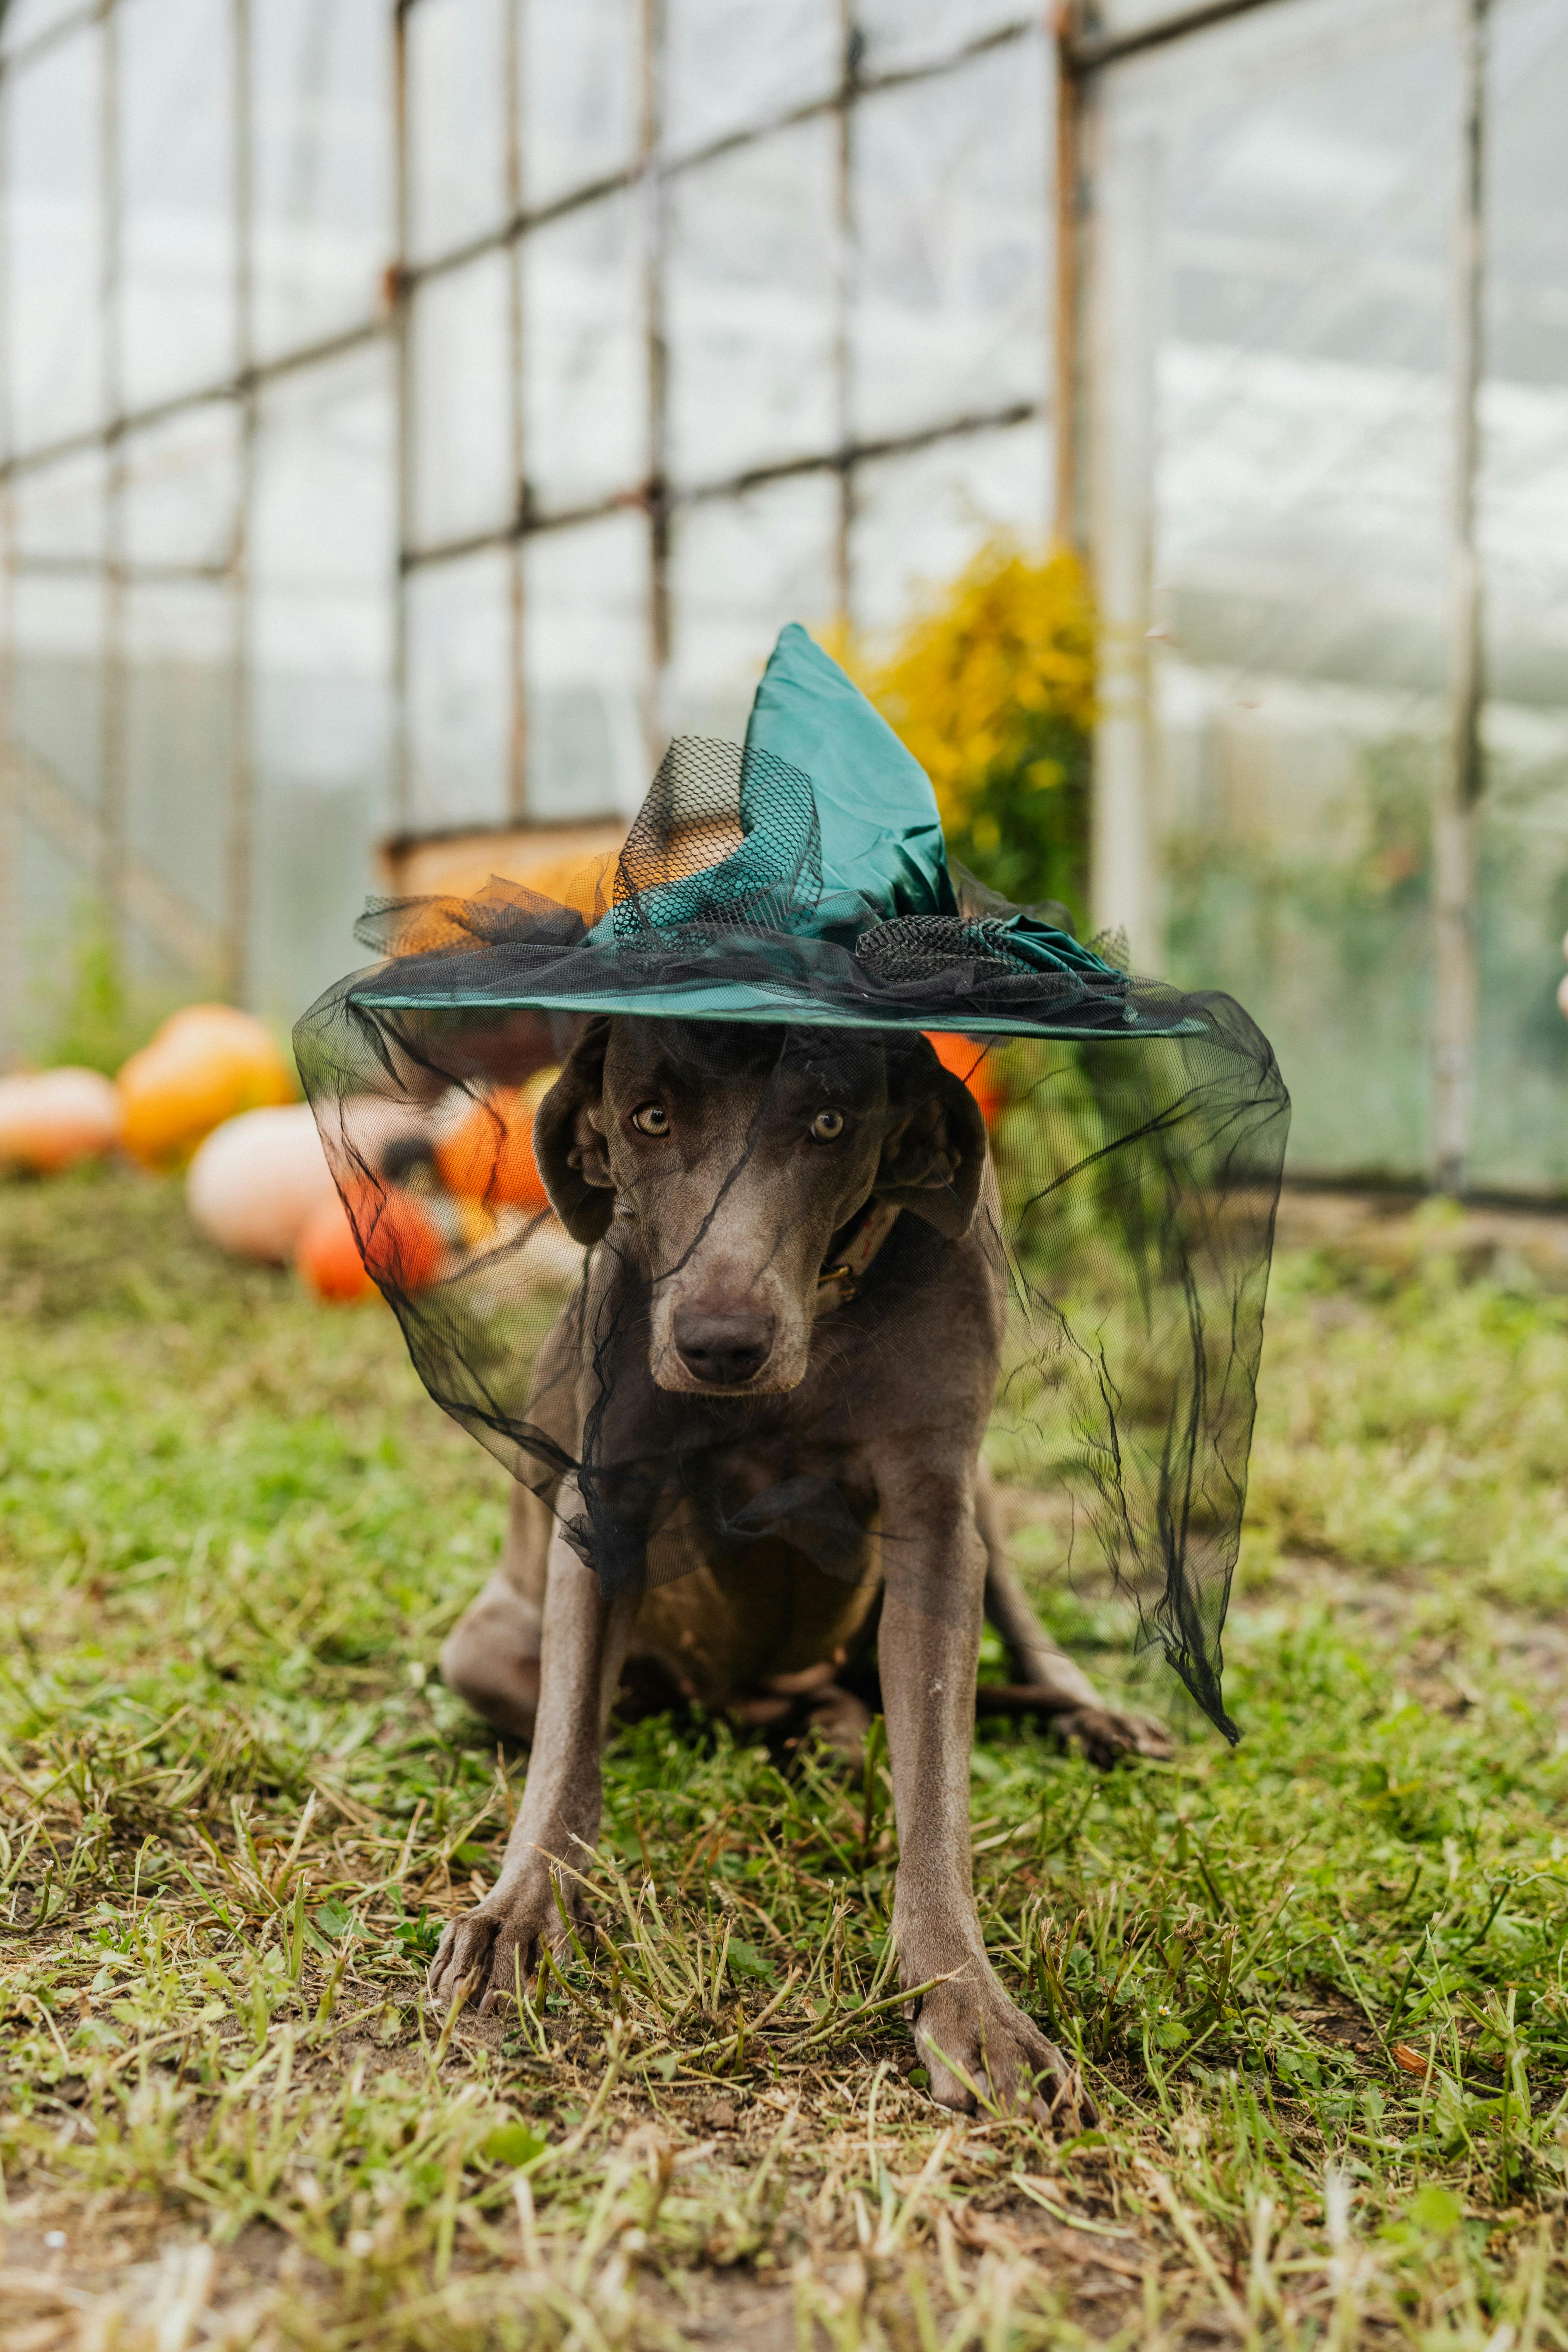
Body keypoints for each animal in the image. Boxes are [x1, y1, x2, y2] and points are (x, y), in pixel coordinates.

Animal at [430, 1021, 1166, 2126]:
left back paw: (1078, 1716)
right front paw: (520, 1912)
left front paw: (970, 2003)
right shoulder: (604, 1497)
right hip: (484, 1648)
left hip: (983, 1502)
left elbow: (938, 1787)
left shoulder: (936, 1515)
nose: (721, 1346)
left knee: (1010, 1649)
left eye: (827, 1122)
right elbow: (564, 1760)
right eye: (651, 1117)